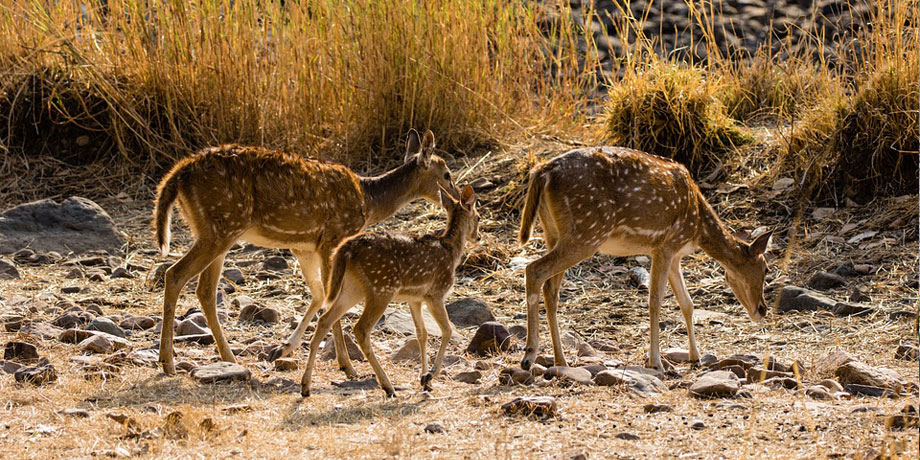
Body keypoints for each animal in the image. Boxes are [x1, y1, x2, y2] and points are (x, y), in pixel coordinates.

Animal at [155, 128, 464, 374]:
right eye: (447, 174)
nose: (459, 199)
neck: (368, 201)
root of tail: (179, 173)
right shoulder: (333, 237)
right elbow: (329, 300)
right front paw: (347, 366)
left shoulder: (303, 246)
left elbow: (318, 295)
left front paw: (284, 348)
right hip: (220, 227)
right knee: (175, 274)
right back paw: (168, 362)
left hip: (215, 230)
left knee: (205, 289)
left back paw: (227, 357)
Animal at [298, 185, 482, 398]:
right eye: (478, 216)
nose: (478, 236)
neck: (451, 252)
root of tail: (346, 247)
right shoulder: (435, 293)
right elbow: (447, 330)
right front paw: (430, 375)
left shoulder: (415, 298)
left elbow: (422, 333)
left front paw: (424, 380)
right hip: (382, 288)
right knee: (360, 328)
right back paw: (388, 386)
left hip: (352, 288)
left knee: (325, 319)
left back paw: (306, 386)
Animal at [516, 146, 768, 370]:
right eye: (766, 268)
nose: (763, 310)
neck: (698, 229)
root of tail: (542, 172)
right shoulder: (665, 245)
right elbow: (655, 300)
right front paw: (656, 362)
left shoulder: (674, 255)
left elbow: (687, 303)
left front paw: (695, 357)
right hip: (586, 233)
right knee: (534, 270)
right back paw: (529, 356)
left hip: (553, 233)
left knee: (551, 289)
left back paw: (560, 360)